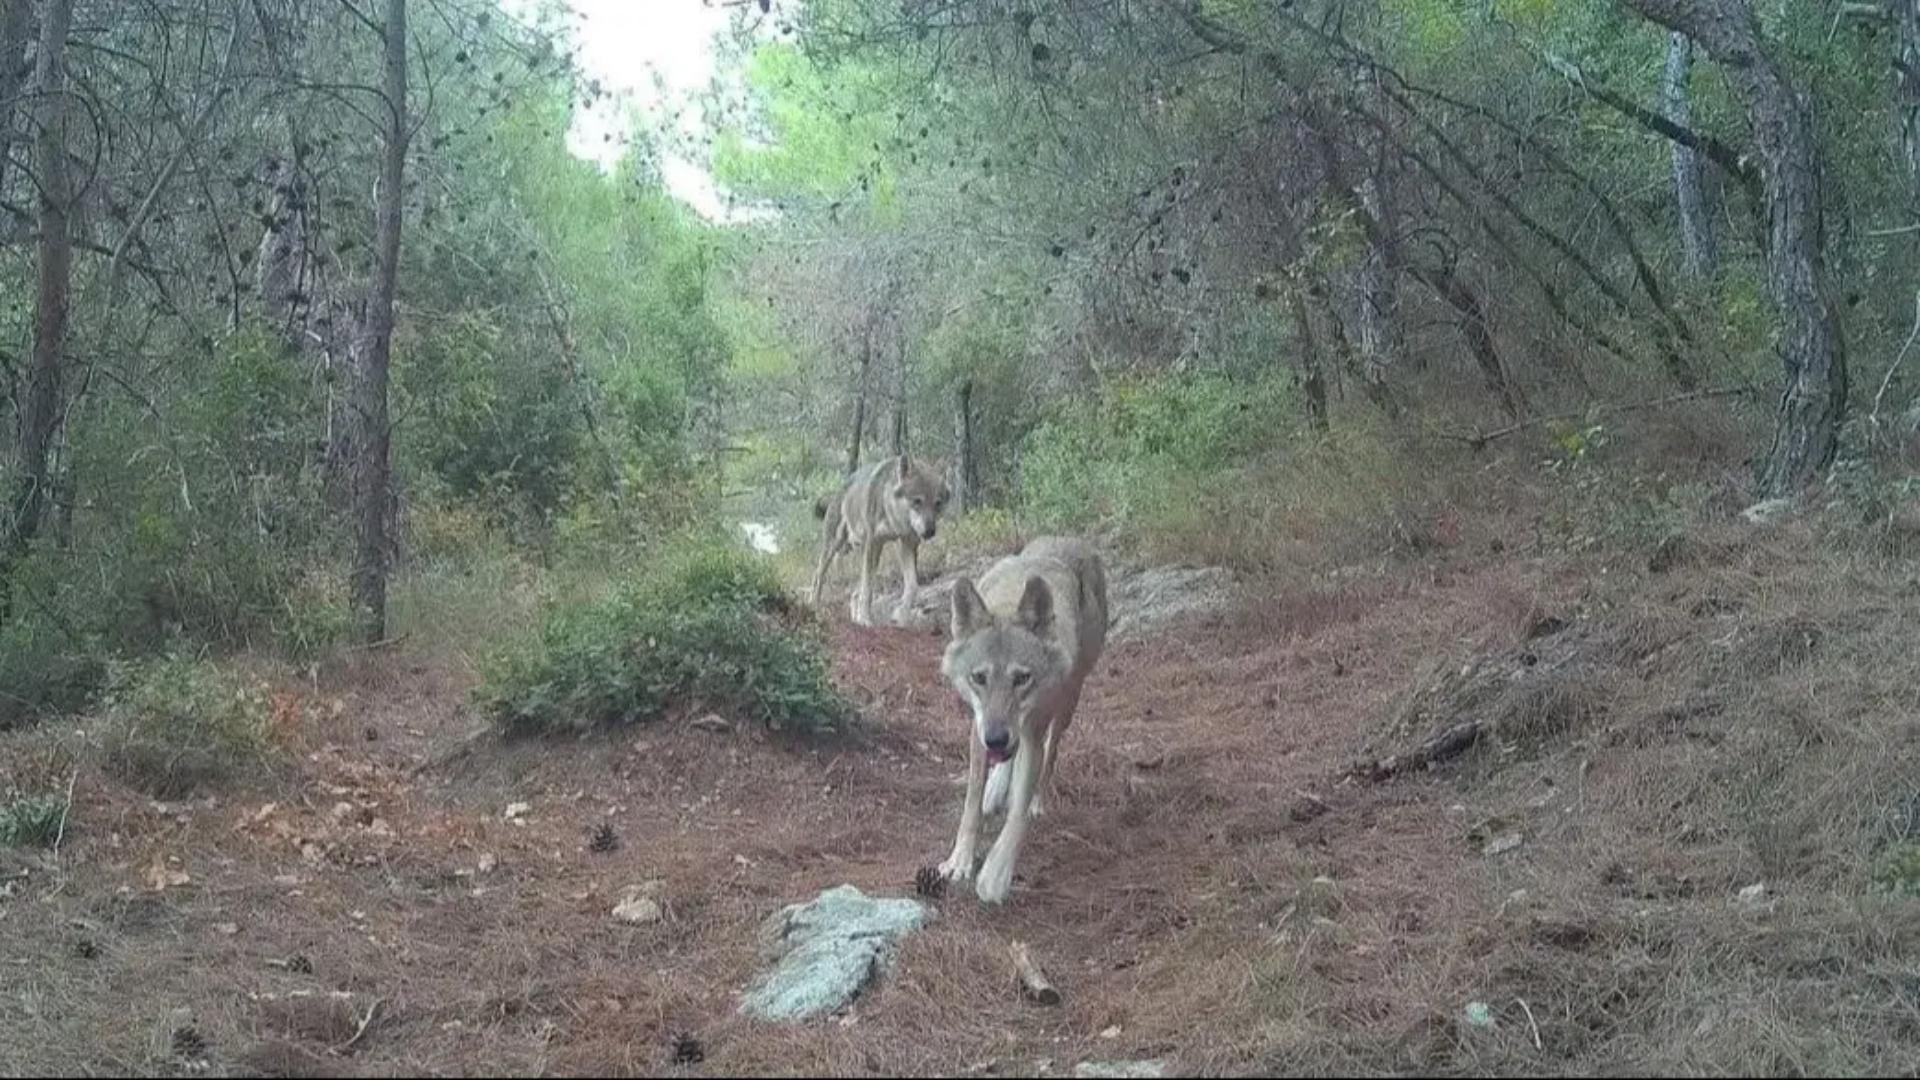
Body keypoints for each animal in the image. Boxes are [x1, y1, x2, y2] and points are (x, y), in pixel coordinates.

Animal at [808, 455, 951, 626]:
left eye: (938, 503)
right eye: (917, 501)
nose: (930, 531)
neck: (892, 516)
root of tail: (838, 490)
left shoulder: (906, 543)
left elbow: (912, 586)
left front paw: (900, 616)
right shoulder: (872, 542)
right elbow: (868, 589)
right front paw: (866, 619)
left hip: (865, 550)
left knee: (855, 590)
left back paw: (855, 618)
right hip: (836, 546)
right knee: (818, 576)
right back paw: (814, 609)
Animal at [936, 536, 1108, 904]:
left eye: (1022, 678)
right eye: (979, 677)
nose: (997, 738)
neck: (1009, 598)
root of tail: (1072, 539)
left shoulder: (1031, 731)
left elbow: (1017, 814)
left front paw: (995, 876)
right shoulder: (978, 727)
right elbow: (971, 802)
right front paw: (959, 862)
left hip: (1067, 705)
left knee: (1050, 756)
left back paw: (1036, 800)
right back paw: (996, 788)